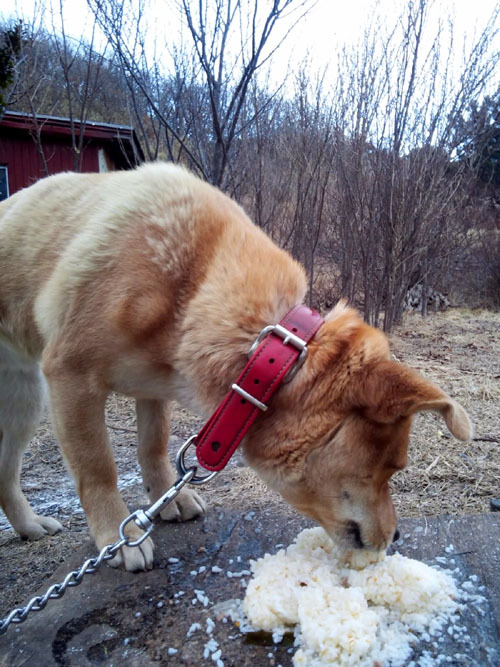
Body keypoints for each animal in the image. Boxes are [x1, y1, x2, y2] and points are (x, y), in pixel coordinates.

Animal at [0, 160, 470, 568]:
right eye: (390, 468)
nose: (398, 536)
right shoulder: (71, 377)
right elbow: (97, 470)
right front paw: (119, 535)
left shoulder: (152, 389)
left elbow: (153, 447)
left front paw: (169, 499)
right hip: (28, 400)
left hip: (23, 406)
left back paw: (29, 526)